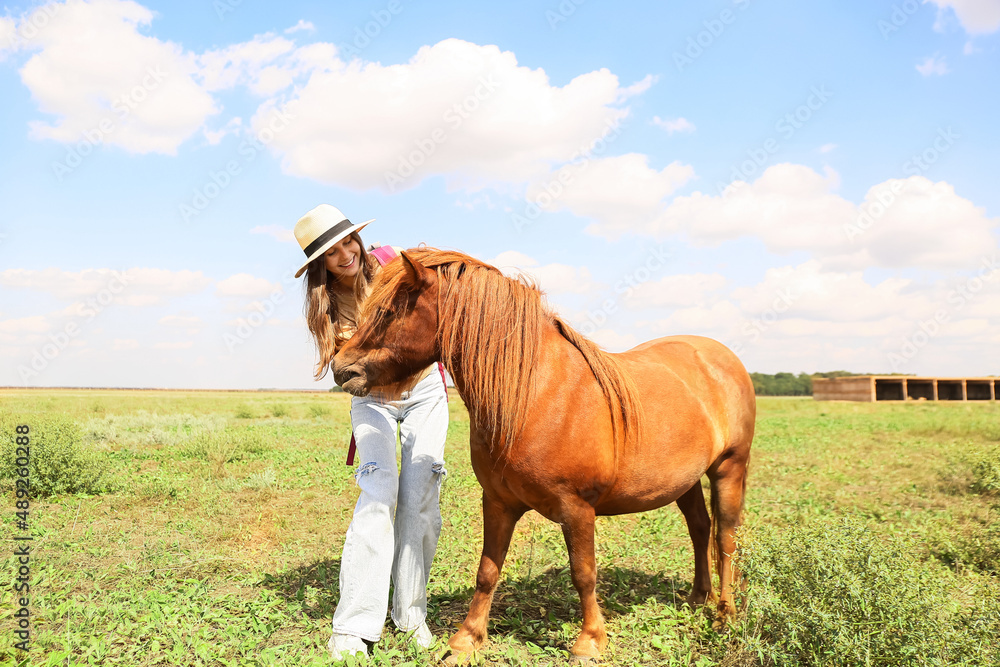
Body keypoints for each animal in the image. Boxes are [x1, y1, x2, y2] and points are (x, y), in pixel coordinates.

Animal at [332, 249, 752, 664]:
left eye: (389, 311)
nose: (340, 369)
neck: (534, 395)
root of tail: (722, 357)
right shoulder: (498, 503)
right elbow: (487, 571)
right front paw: (467, 639)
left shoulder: (577, 509)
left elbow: (584, 573)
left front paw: (589, 642)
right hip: (686, 480)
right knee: (700, 529)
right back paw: (698, 599)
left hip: (729, 469)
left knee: (725, 538)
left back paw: (725, 615)